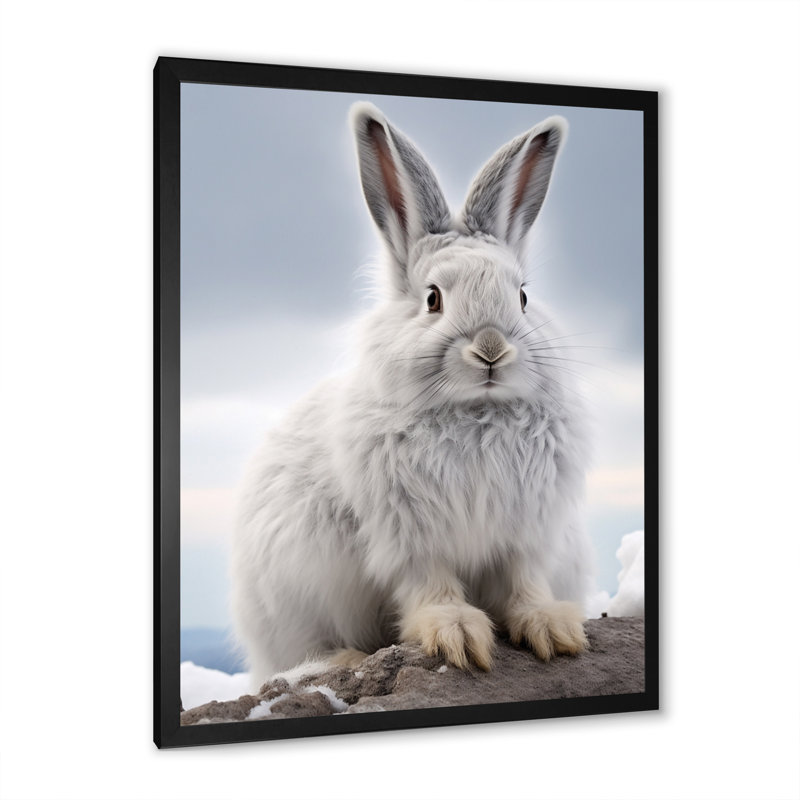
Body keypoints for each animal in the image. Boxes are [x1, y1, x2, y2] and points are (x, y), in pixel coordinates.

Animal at [231, 102, 593, 689]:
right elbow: (431, 585)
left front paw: (553, 630)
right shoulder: (410, 538)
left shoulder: (526, 534)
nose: (491, 349)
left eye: (521, 297)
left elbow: (523, 583)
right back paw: (342, 661)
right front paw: (458, 637)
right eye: (433, 299)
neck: (477, 414)